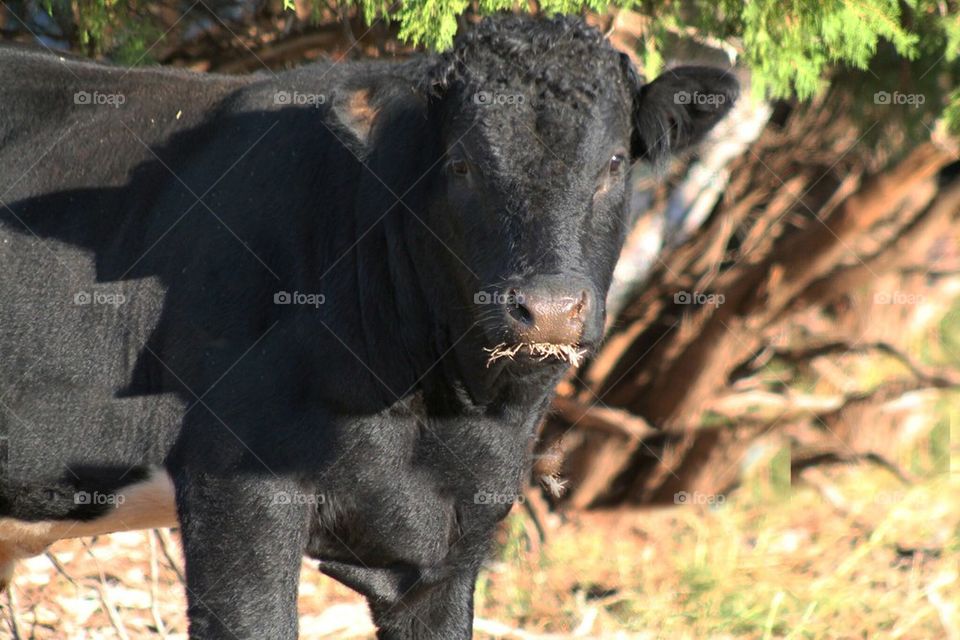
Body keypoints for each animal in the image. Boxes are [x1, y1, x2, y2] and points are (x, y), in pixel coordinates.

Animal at [0, 14, 737, 639]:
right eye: (461, 164)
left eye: (613, 163)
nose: (548, 308)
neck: (448, 411)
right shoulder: (235, 488)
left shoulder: (459, 528)